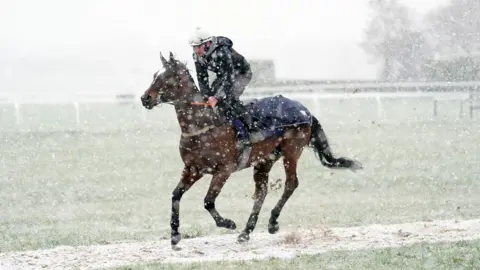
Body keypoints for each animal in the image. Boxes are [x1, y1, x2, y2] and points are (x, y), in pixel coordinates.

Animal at [139, 51, 360, 248]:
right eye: (154, 75)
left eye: (167, 78)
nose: (145, 98)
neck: (203, 124)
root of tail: (305, 110)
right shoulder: (193, 169)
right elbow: (176, 195)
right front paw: (175, 235)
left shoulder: (224, 169)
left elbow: (208, 201)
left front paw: (228, 223)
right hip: (265, 159)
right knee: (261, 191)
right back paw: (247, 231)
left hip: (291, 151)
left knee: (291, 183)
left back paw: (272, 222)